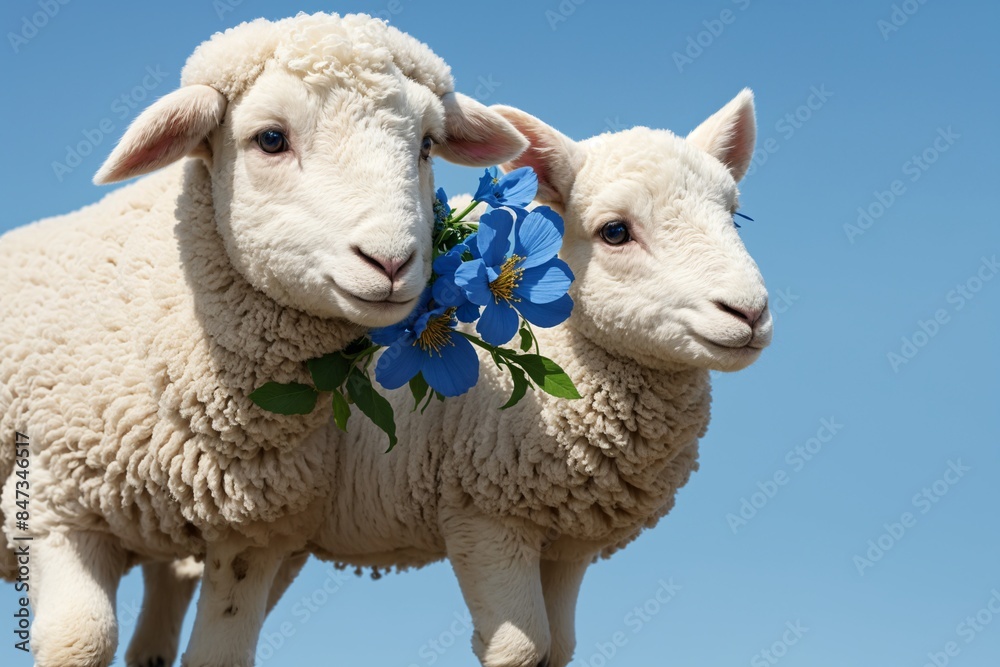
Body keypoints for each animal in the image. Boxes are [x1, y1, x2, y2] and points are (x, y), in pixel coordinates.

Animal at [0, 12, 528, 667]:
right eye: (271, 139)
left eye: (427, 144)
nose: (391, 262)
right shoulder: (53, 506)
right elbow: (80, 639)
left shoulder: (252, 536)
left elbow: (219, 654)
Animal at [135, 89, 772, 667]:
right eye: (615, 232)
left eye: (734, 216)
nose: (750, 313)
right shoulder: (482, 511)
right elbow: (522, 648)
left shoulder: (567, 539)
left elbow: (559, 648)